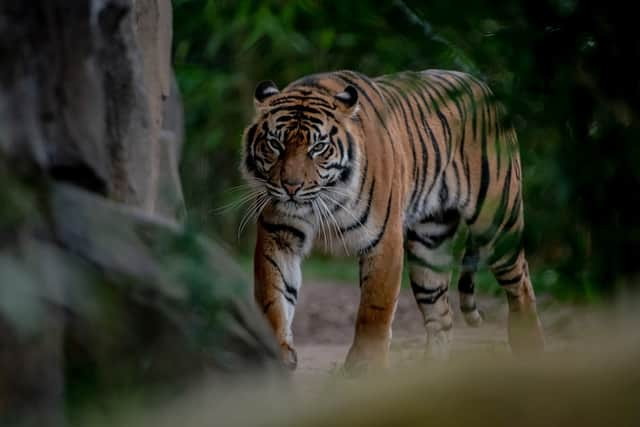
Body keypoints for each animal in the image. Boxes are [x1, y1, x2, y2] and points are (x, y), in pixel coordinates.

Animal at [240, 69, 544, 372]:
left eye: (318, 147)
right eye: (275, 144)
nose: (291, 187)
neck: (324, 198)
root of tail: (483, 86)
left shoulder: (384, 238)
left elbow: (375, 307)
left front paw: (365, 363)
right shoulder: (279, 233)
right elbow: (273, 294)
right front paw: (279, 352)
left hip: (498, 222)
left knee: (521, 284)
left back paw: (530, 346)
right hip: (429, 245)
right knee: (441, 315)